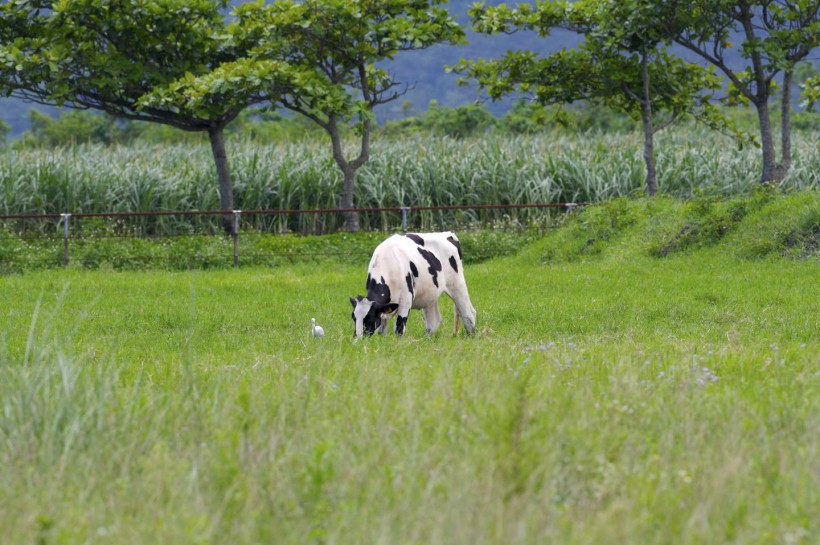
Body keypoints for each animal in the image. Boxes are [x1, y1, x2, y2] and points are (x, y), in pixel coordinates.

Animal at [350, 232, 478, 338]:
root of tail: (448, 234)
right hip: (430, 292)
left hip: (457, 283)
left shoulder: (406, 300)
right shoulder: (384, 308)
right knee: (434, 321)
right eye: (353, 318)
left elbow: (399, 328)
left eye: (369, 319)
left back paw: (471, 336)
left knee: (468, 313)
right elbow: (382, 330)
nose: (358, 339)